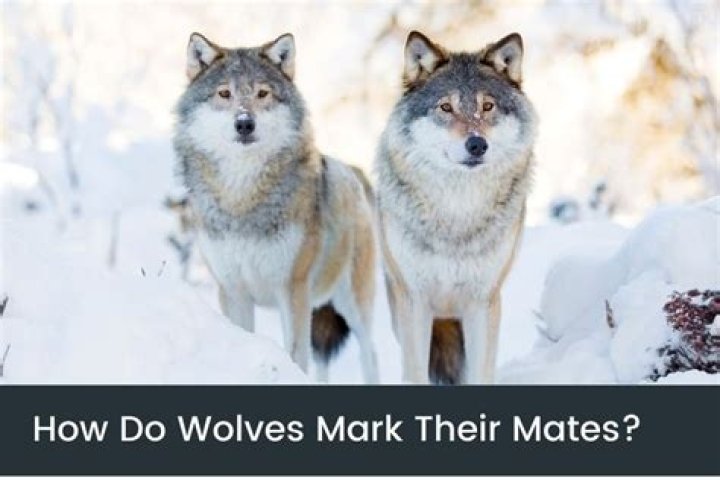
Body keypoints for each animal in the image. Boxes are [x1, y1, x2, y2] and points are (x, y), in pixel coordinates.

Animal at [173, 33, 379, 383]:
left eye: (262, 93)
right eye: (224, 93)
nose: (244, 123)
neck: (242, 198)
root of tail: (352, 172)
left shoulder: (292, 289)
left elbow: (295, 355)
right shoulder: (233, 290)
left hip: (353, 305)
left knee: (371, 355)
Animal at [375, 31, 537, 385]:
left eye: (487, 106)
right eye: (446, 107)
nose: (477, 144)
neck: (457, 212)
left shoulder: (483, 302)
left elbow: (481, 374)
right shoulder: (415, 300)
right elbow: (415, 374)